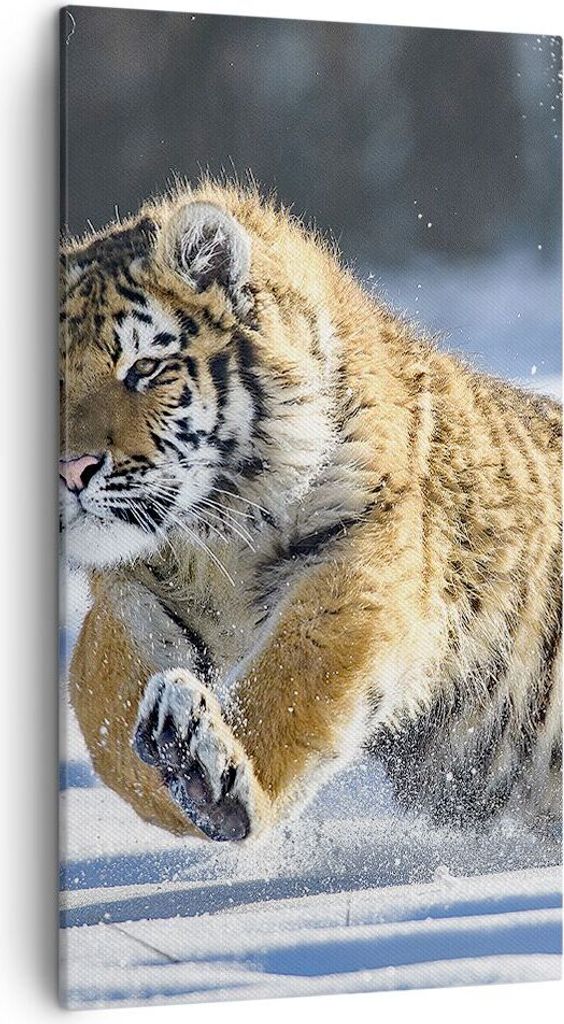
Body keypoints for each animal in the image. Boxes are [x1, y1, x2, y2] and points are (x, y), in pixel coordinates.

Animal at [60, 179, 562, 843]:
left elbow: (294, 681)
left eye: (145, 367)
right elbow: (106, 715)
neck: (210, 534)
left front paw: (208, 773)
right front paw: (175, 772)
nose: (70, 470)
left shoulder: (360, 554)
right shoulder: (127, 592)